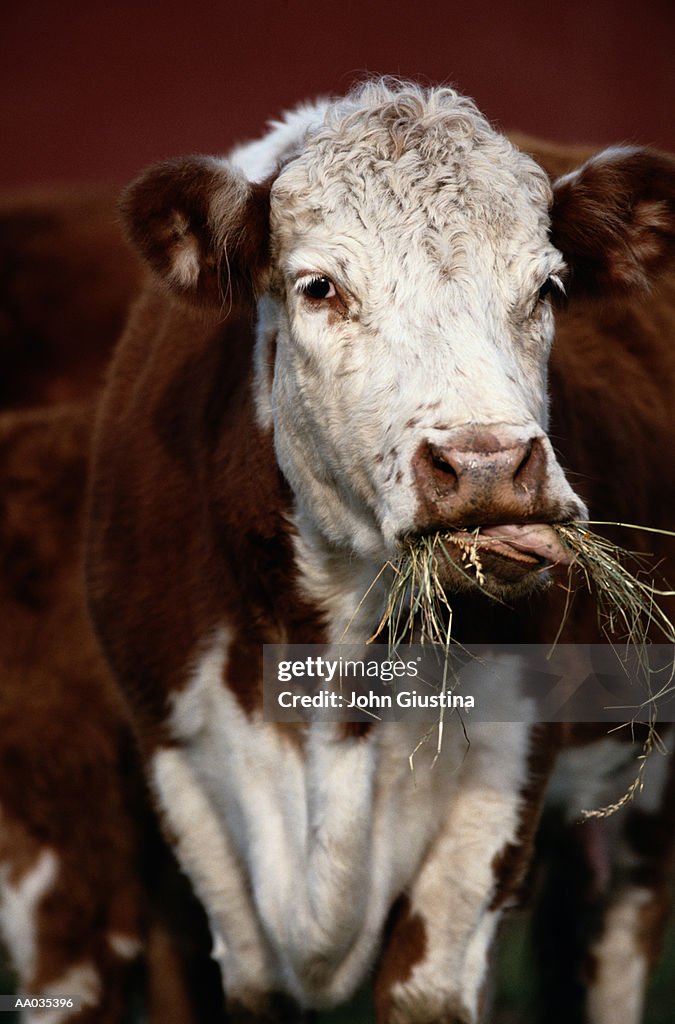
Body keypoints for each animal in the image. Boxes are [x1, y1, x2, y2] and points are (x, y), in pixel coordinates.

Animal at [80, 81, 675, 1024]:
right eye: (319, 286)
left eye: (546, 286)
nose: (485, 464)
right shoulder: (180, 766)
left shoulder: (503, 778)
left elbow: (427, 986)